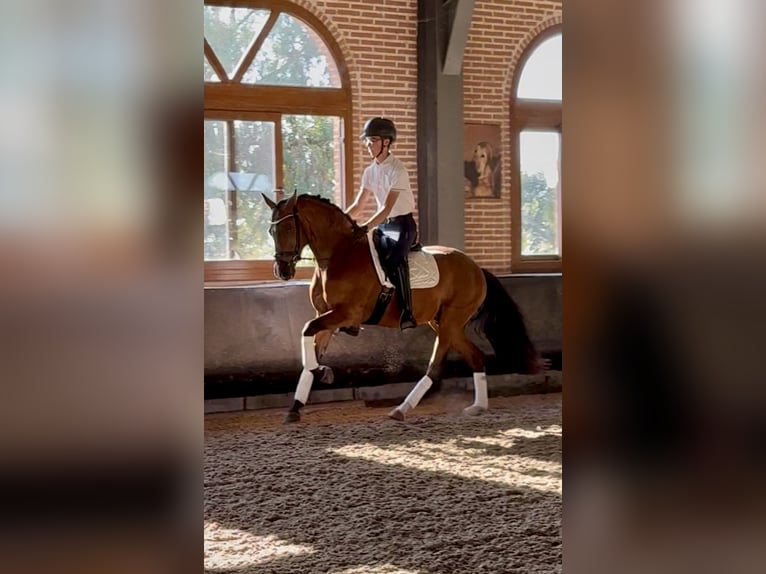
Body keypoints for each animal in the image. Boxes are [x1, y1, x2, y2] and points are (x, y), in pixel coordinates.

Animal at [262, 191, 539, 423]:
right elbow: (313, 347)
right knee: (476, 357)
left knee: (435, 367)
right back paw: (478, 406)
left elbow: (307, 330)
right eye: (271, 231)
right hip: (443, 322)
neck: (338, 255)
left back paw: (401, 409)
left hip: (451, 321)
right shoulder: (326, 315)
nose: (282, 271)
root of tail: (476, 267)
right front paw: (298, 403)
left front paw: (319, 372)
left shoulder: (345, 314)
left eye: (288, 227)